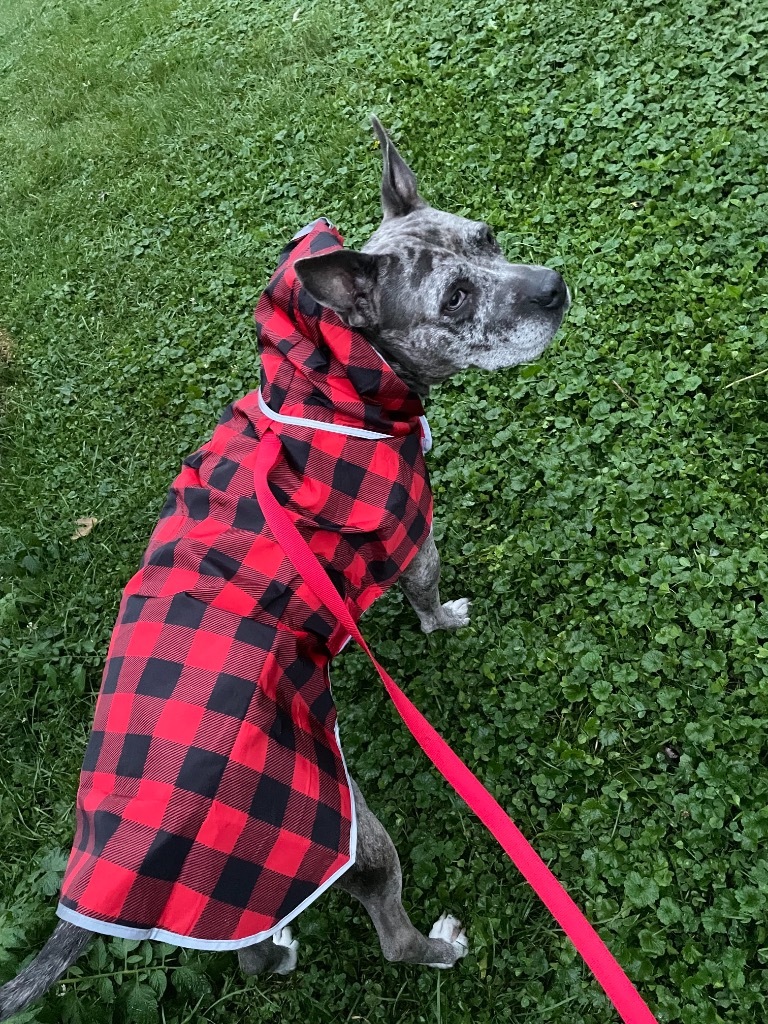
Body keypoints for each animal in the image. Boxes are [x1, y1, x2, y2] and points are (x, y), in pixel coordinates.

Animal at [1, 117, 573, 1015]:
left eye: (488, 237)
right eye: (453, 298)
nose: (552, 287)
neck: (336, 385)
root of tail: (103, 880)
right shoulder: (417, 539)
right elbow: (428, 594)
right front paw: (443, 622)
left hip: (236, 894)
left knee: (249, 956)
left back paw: (279, 955)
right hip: (347, 831)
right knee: (390, 932)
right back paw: (438, 948)